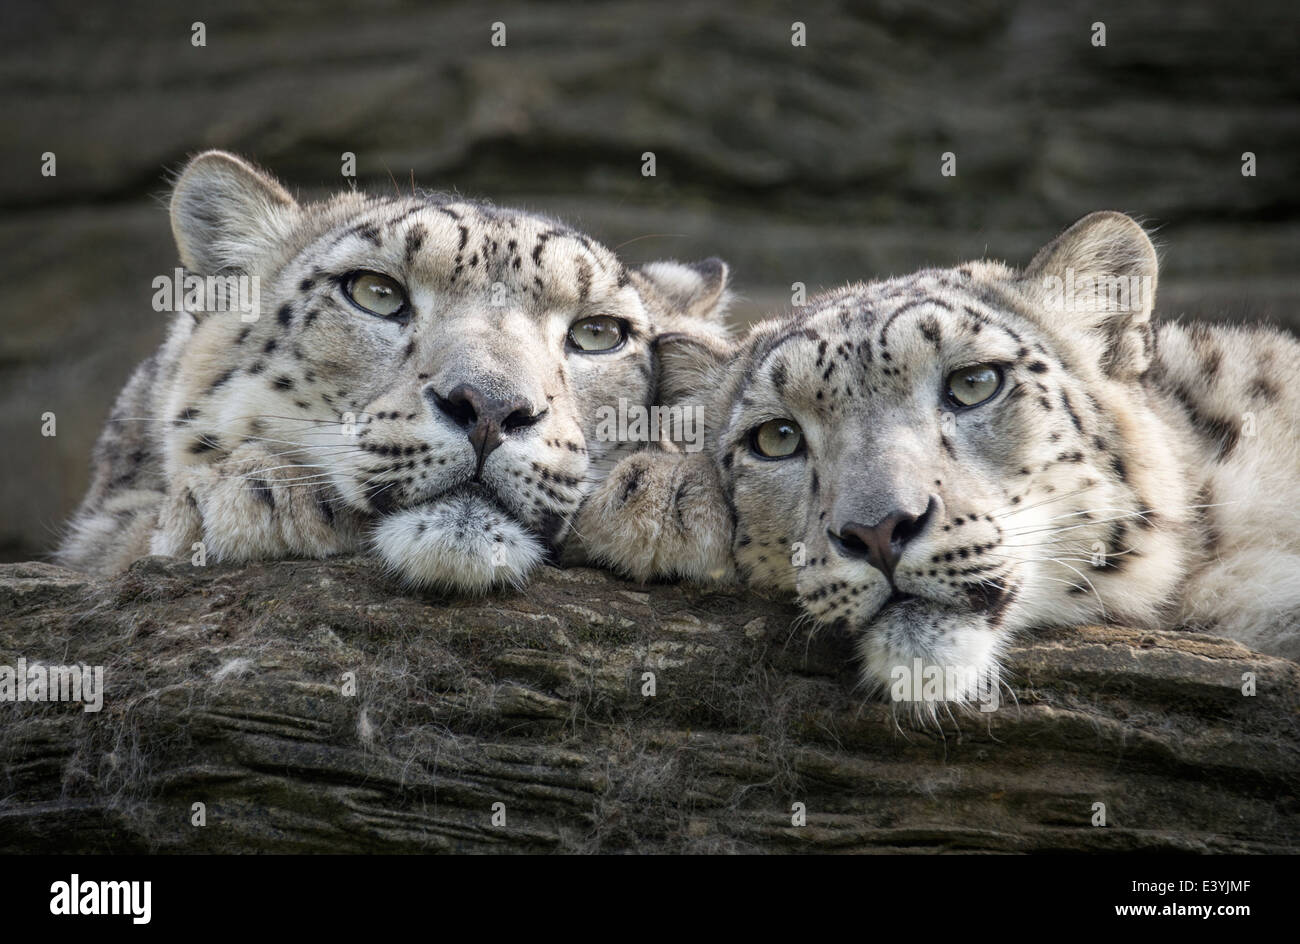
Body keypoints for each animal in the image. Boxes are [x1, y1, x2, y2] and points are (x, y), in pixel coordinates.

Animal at [58, 149, 733, 592]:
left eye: (599, 334)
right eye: (376, 293)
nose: (490, 406)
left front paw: (670, 493)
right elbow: (116, 543)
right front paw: (251, 492)